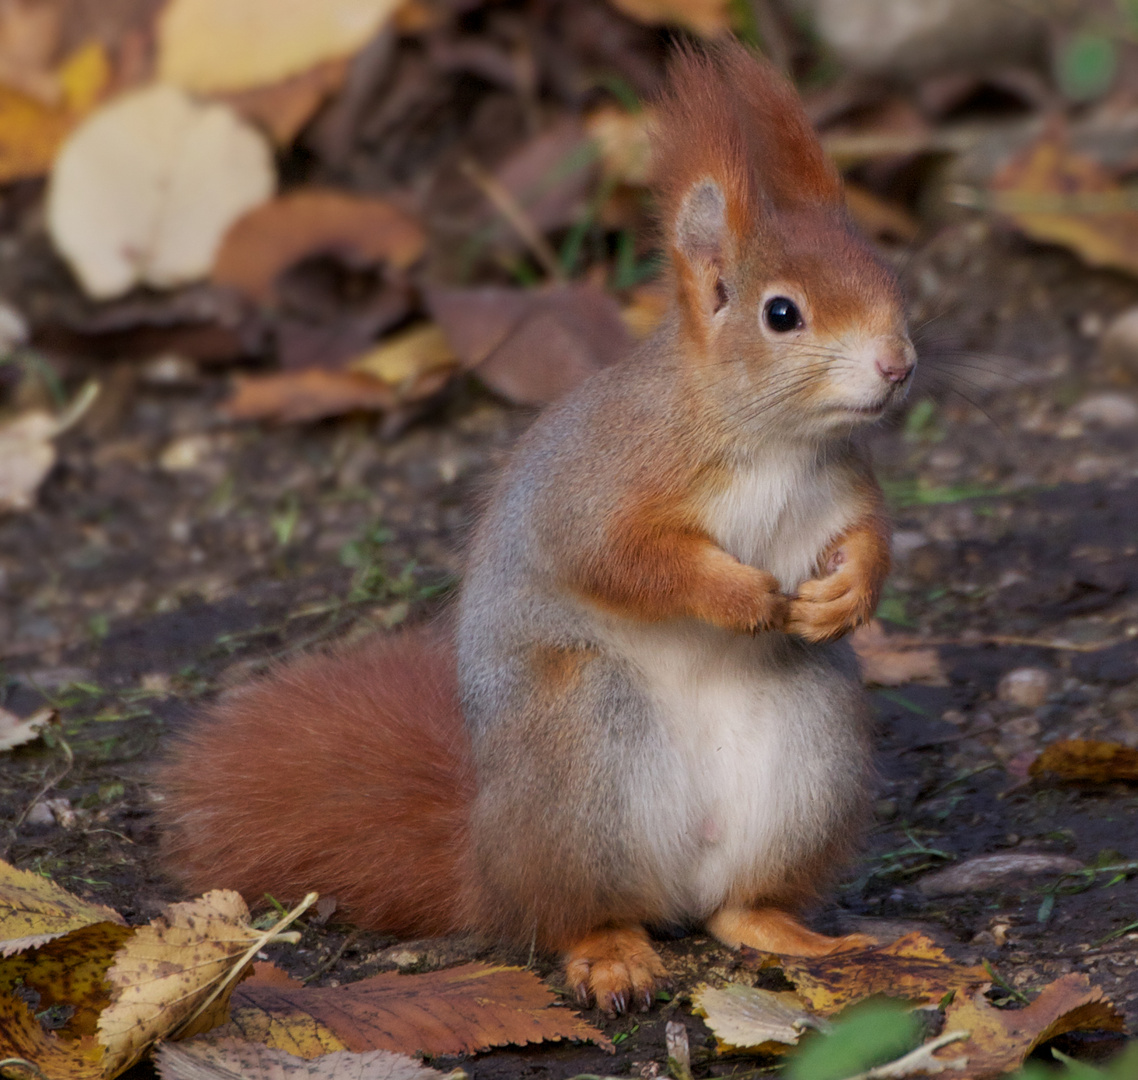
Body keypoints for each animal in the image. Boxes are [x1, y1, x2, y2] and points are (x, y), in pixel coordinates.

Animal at [160, 42, 914, 1015]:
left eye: (889, 277)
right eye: (781, 314)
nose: (898, 364)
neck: (774, 442)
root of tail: (488, 866)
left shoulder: (844, 488)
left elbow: (871, 540)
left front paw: (845, 596)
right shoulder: (602, 484)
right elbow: (623, 559)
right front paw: (739, 593)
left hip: (808, 755)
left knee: (736, 909)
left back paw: (799, 936)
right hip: (580, 749)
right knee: (573, 915)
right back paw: (611, 954)